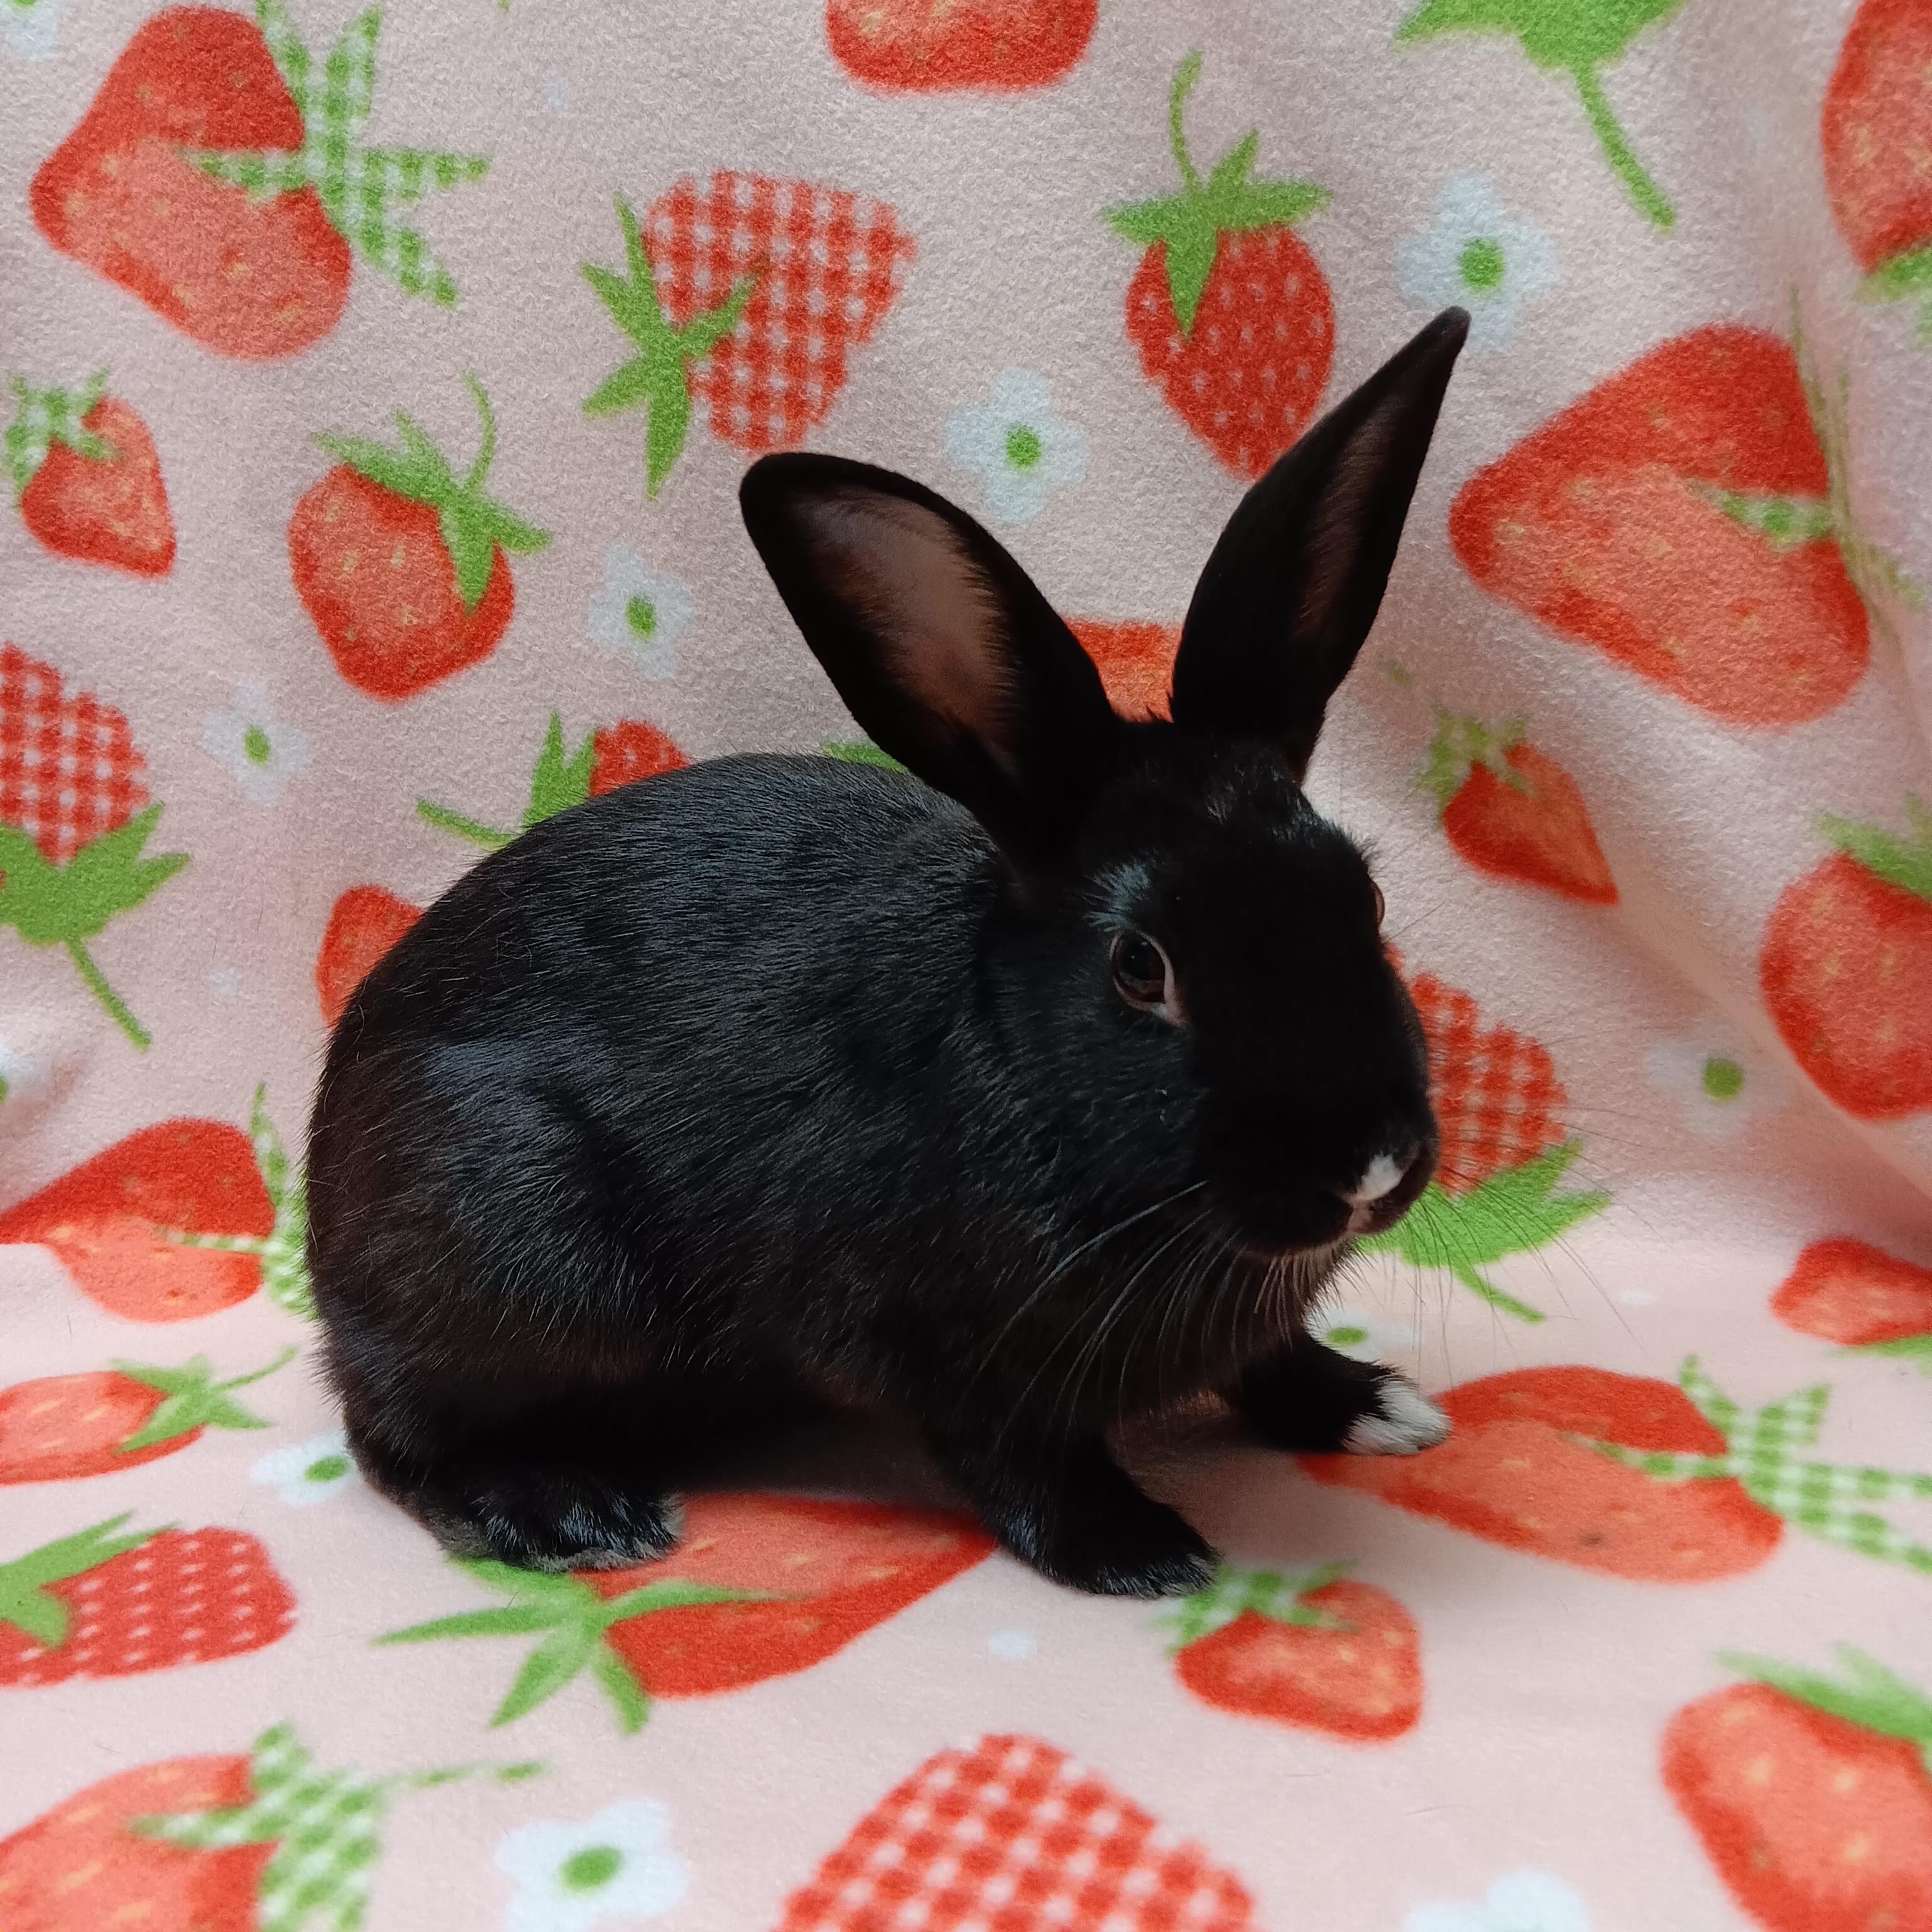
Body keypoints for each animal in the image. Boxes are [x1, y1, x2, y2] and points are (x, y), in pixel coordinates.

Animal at [306, 306, 1469, 1599]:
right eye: (1139, 966)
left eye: (1365, 895)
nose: (1368, 1169)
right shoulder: (927, 1346)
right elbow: (1017, 1454)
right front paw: (1139, 1547)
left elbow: (1270, 1360)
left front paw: (1376, 1407)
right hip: (510, 1247)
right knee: (399, 1437)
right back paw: (570, 1513)